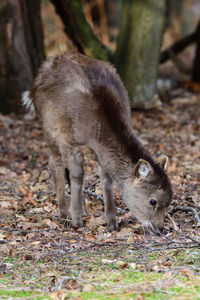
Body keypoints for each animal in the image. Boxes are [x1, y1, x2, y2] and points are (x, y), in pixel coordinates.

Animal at [21, 52, 172, 233]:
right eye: (153, 201)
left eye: (169, 202)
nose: (160, 228)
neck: (95, 134)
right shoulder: (68, 139)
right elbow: (78, 175)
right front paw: (76, 221)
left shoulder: (100, 153)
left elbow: (106, 180)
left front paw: (112, 224)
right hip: (48, 126)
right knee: (55, 164)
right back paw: (64, 214)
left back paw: (85, 211)